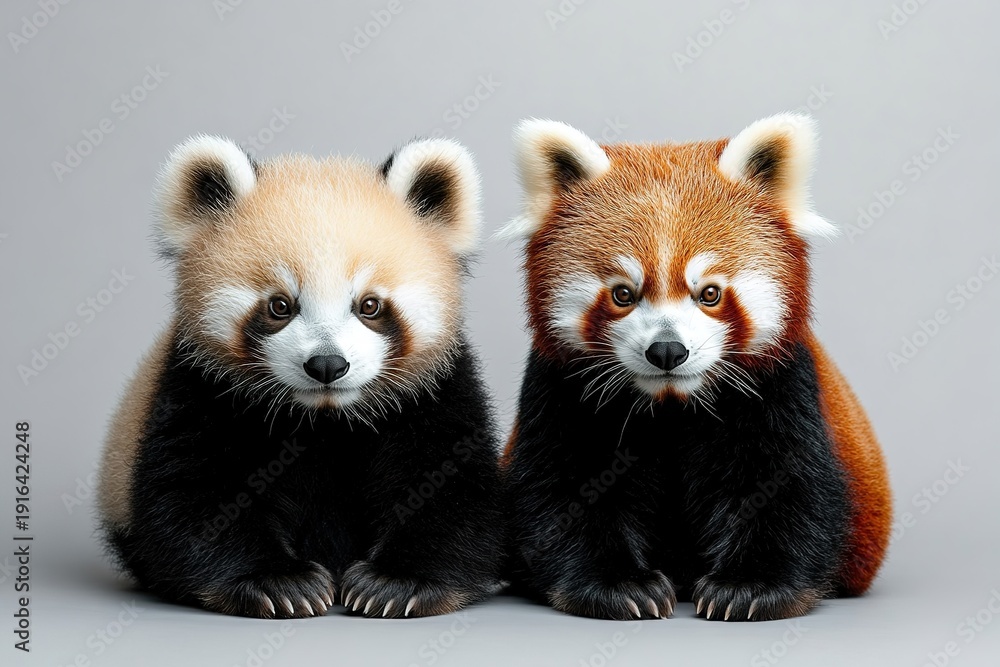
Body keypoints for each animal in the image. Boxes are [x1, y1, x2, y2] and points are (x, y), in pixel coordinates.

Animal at [97, 135, 504, 619]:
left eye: (369, 305)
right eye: (280, 306)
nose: (327, 365)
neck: (324, 416)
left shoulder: (433, 389)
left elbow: (454, 484)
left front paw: (394, 584)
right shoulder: (199, 385)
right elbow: (190, 492)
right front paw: (281, 584)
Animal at [498, 114, 892, 621]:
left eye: (709, 293)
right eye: (623, 294)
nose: (667, 351)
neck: (671, 406)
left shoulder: (784, 386)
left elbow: (792, 487)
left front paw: (748, 587)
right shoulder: (559, 388)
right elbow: (559, 491)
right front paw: (620, 586)